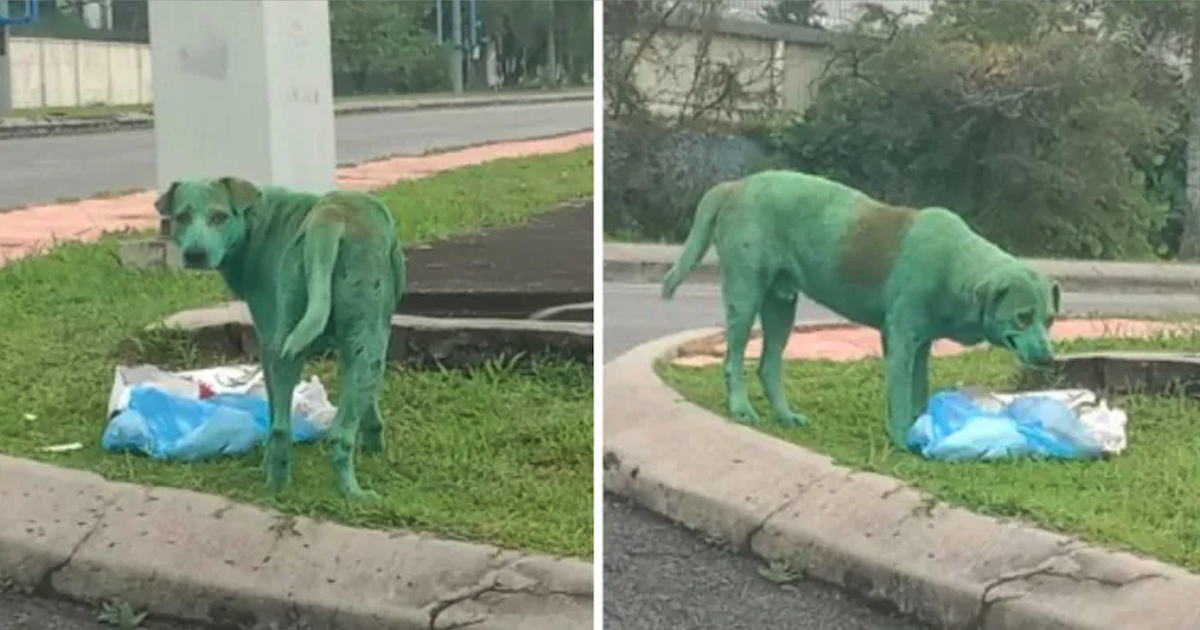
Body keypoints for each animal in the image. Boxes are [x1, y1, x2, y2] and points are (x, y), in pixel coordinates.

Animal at [156, 175, 403, 496]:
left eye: (219, 217)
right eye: (182, 217)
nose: (195, 254)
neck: (255, 221)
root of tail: (330, 218)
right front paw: (374, 446)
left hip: (297, 347)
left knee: (282, 427)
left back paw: (280, 483)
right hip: (342, 344)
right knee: (328, 432)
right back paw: (347, 492)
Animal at [667, 170, 1060, 446]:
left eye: (1051, 320)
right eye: (1022, 317)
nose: (1047, 359)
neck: (956, 267)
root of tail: (735, 185)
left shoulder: (922, 345)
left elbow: (919, 389)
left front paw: (923, 428)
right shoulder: (900, 340)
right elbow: (899, 394)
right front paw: (903, 439)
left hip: (781, 303)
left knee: (768, 365)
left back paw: (786, 416)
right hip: (745, 293)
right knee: (733, 359)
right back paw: (740, 408)